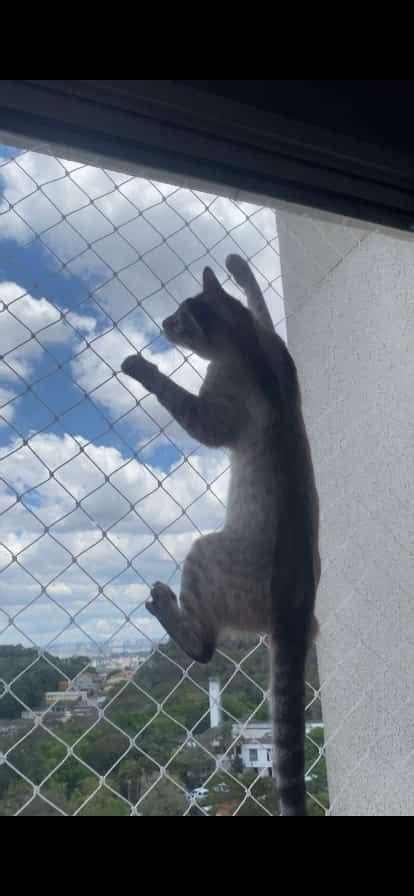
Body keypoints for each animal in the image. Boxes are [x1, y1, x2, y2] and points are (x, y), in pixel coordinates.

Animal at [121, 256, 322, 816]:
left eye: (178, 320)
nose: (163, 323)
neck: (245, 341)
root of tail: (296, 611)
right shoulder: (275, 341)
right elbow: (260, 303)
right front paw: (239, 267)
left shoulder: (214, 411)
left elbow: (185, 406)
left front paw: (145, 368)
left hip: (205, 553)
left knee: (206, 648)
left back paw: (171, 614)